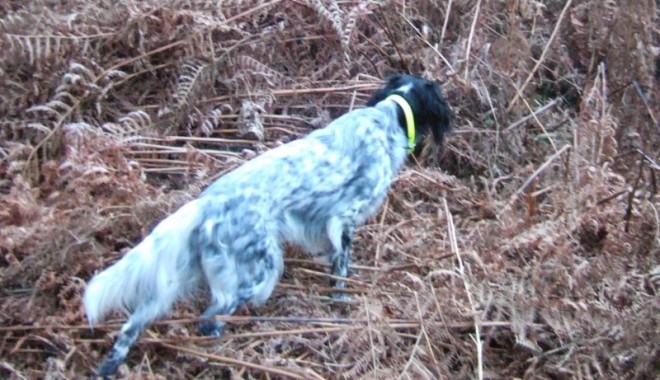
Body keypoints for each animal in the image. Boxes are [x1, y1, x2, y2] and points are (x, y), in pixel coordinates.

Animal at [84, 74, 448, 378]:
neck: (389, 114)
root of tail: (205, 205)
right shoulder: (343, 218)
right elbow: (340, 267)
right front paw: (341, 302)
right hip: (260, 270)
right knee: (209, 318)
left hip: (174, 280)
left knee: (132, 325)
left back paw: (108, 367)